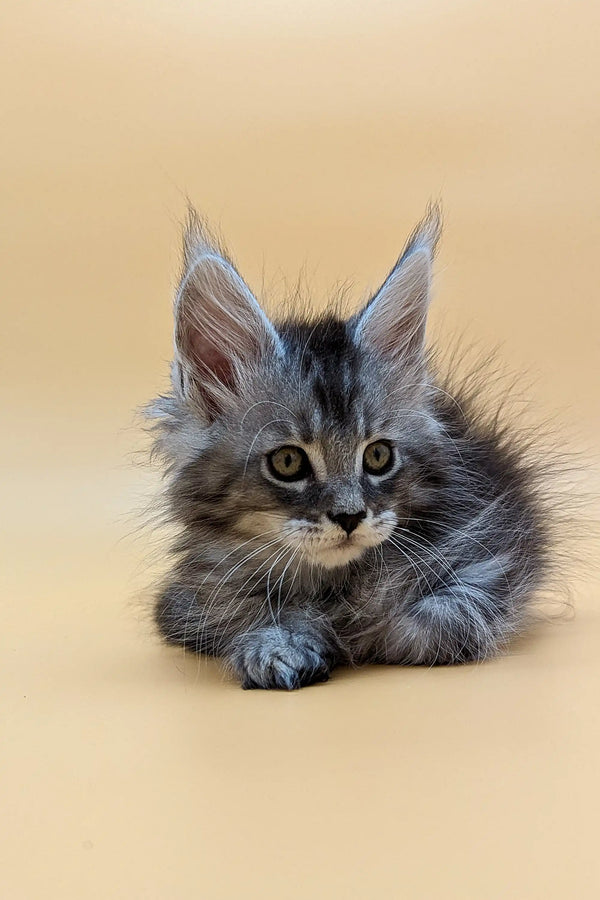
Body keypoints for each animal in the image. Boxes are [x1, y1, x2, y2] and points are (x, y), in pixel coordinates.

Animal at [148, 207, 552, 688]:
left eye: (378, 456)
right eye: (288, 462)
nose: (349, 517)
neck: (335, 585)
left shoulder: (498, 555)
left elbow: (436, 620)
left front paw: (373, 631)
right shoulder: (187, 601)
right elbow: (247, 612)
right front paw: (280, 646)